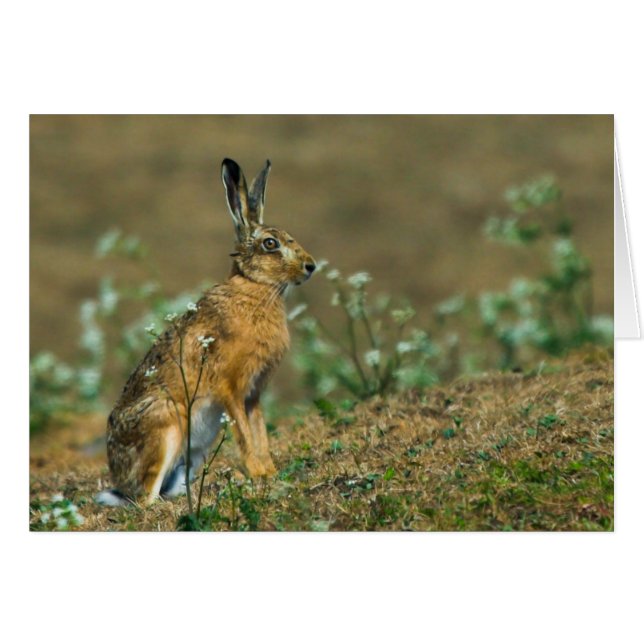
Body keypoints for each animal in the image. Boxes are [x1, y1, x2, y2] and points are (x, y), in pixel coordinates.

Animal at [96, 158, 316, 506]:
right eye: (270, 243)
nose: (311, 266)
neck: (253, 287)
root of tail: (120, 484)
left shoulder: (253, 394)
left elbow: (260, 433)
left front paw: (269, 472)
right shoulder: (231, 388)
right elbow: (245, 435)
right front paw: (258, 474)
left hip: (198, 445)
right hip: (166, 426)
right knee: (146, 498)